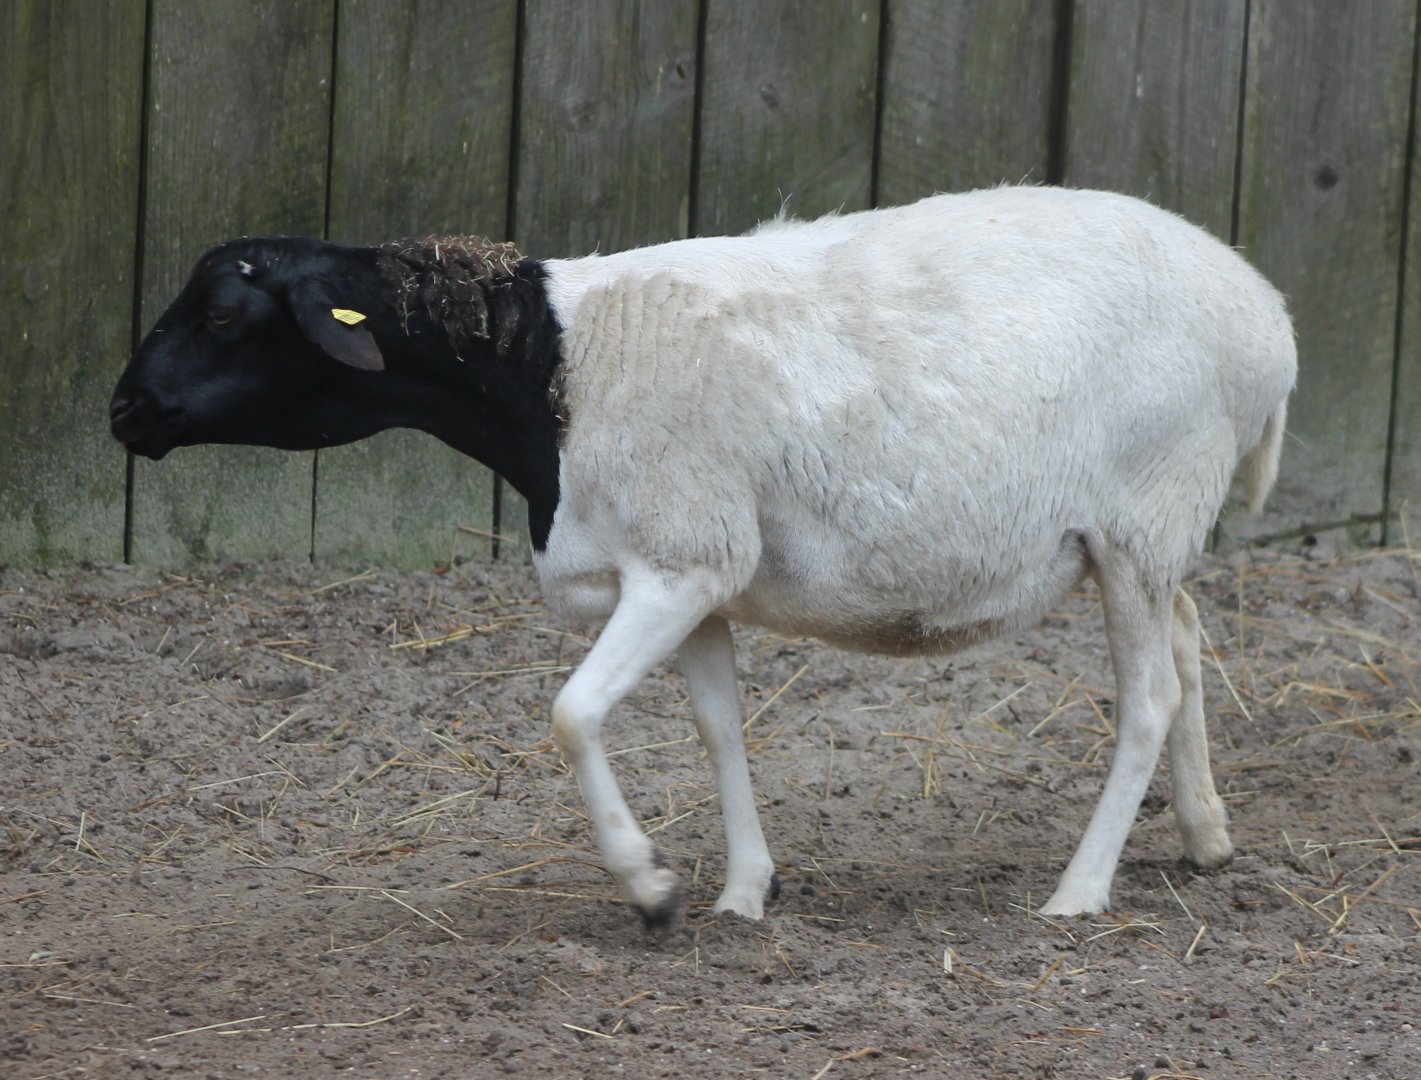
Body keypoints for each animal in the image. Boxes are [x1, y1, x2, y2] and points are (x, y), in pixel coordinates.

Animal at [110, 186, 1296, 927]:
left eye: (223, 313)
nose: (121, 410)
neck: (545, 365)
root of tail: (1264, 314)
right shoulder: (697, 583)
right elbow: (719, 731)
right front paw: (741, 892)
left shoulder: (681, 561)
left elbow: (571, 714)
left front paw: (649, 888)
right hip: (1141, 532)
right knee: (1186, 640)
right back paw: (1204, 834)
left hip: (1142, 511)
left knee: (1145, 697)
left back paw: (1077, 892)